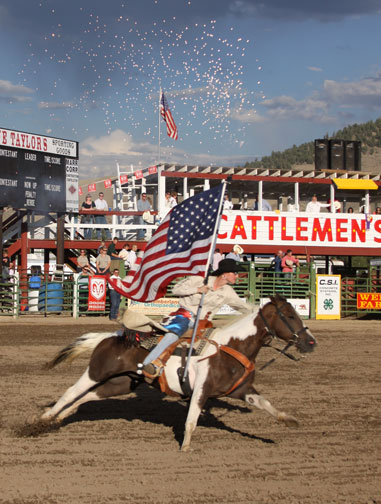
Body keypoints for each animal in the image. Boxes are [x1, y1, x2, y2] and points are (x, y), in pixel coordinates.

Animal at [40, 294, 314, 450]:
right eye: (289, 315)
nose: (311, 342)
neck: (231, 347)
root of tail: (111, 336)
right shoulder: (201, 390)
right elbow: (191, 418)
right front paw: (185, 447)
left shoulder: (243, 390)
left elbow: (266, 404)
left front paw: (289, 420)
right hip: (96, 372)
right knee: (71, 392)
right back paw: (44, 419)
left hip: (122, 382)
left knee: (89, 396)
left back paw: (62, 416)